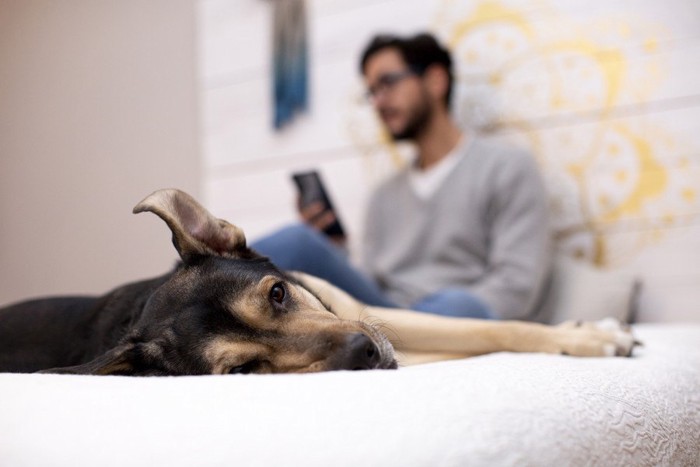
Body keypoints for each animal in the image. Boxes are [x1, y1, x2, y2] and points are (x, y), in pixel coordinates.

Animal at [0, 188, 636, 374]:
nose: (366, 352)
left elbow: (492, 330)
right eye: (246, 371)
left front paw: (592, 336)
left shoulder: (369, 313)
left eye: (279, 293)